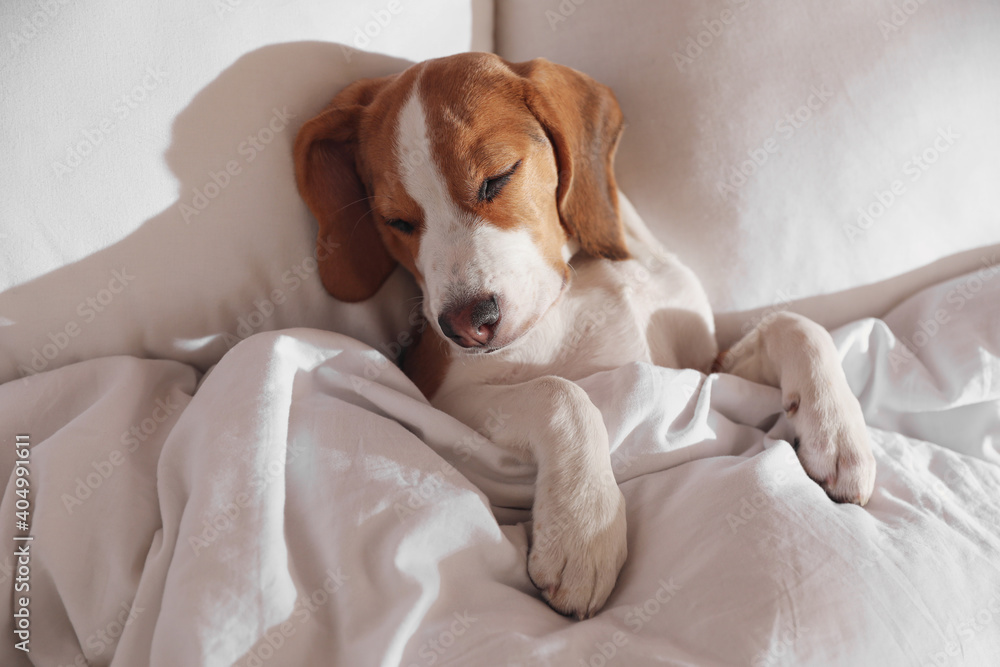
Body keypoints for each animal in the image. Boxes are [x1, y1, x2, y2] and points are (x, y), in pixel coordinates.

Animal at [290, 52, 876, 620]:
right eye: (397, 222)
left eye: (498, 178)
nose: (465, 325)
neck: (583, 275)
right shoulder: (442, 397)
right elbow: (562, 393)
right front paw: (583, 530)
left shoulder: (702, 371)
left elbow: (795, 324)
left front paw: (838, 431)